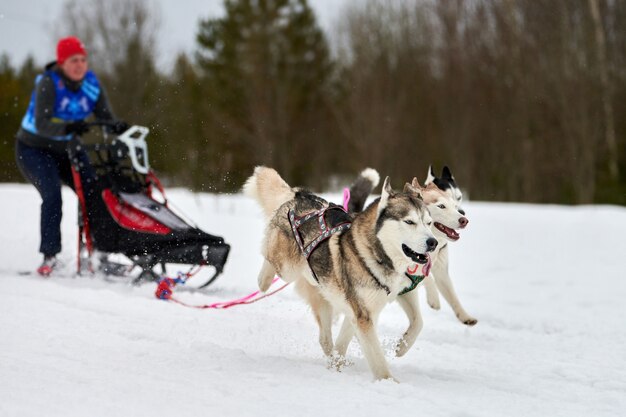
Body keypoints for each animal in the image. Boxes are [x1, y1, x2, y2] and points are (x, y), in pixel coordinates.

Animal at [241, 167, 436, 380]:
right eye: (409, 221)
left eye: (429, 223)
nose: (433, 242)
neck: (376, 255)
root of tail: (301, 195)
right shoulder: (363, 316)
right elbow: (377, 358)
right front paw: (388, 382)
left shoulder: (371, 307)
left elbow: (417, 323)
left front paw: (400, 347)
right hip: (288, 267)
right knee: (269, 261)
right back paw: (264, 281)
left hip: (326, 300)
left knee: (325, 340)